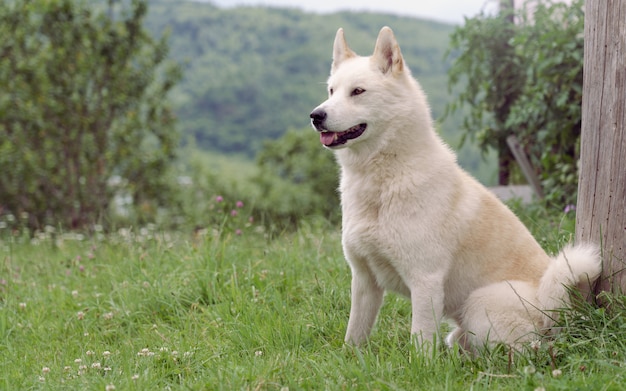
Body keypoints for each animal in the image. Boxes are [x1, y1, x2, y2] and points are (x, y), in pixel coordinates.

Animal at [308, 27, 600, 352]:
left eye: (358, 91)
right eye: (331, 91)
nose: (316, 115)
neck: (386, 178)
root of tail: (556, 313)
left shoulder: (425, 280)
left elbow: (420, 340)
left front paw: (420, 363)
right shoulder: (363, 279)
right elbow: (355, 333)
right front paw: (351, 358)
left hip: (480, 305)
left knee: (526, 350)